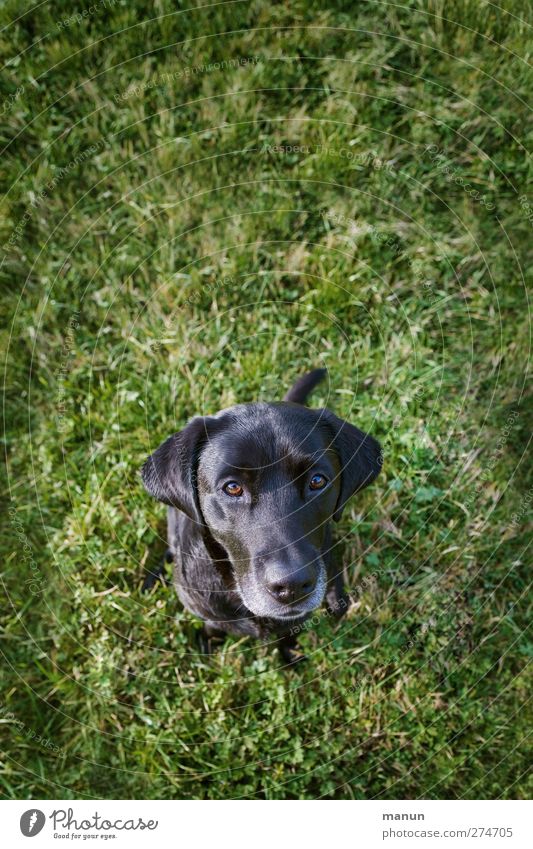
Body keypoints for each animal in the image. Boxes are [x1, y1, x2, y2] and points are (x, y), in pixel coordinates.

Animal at [141, 368, 382, 660]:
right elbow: (213, 625)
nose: (291, 587)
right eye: (232, 487)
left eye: (317, 481)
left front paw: (291, 651)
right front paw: (210, 642)